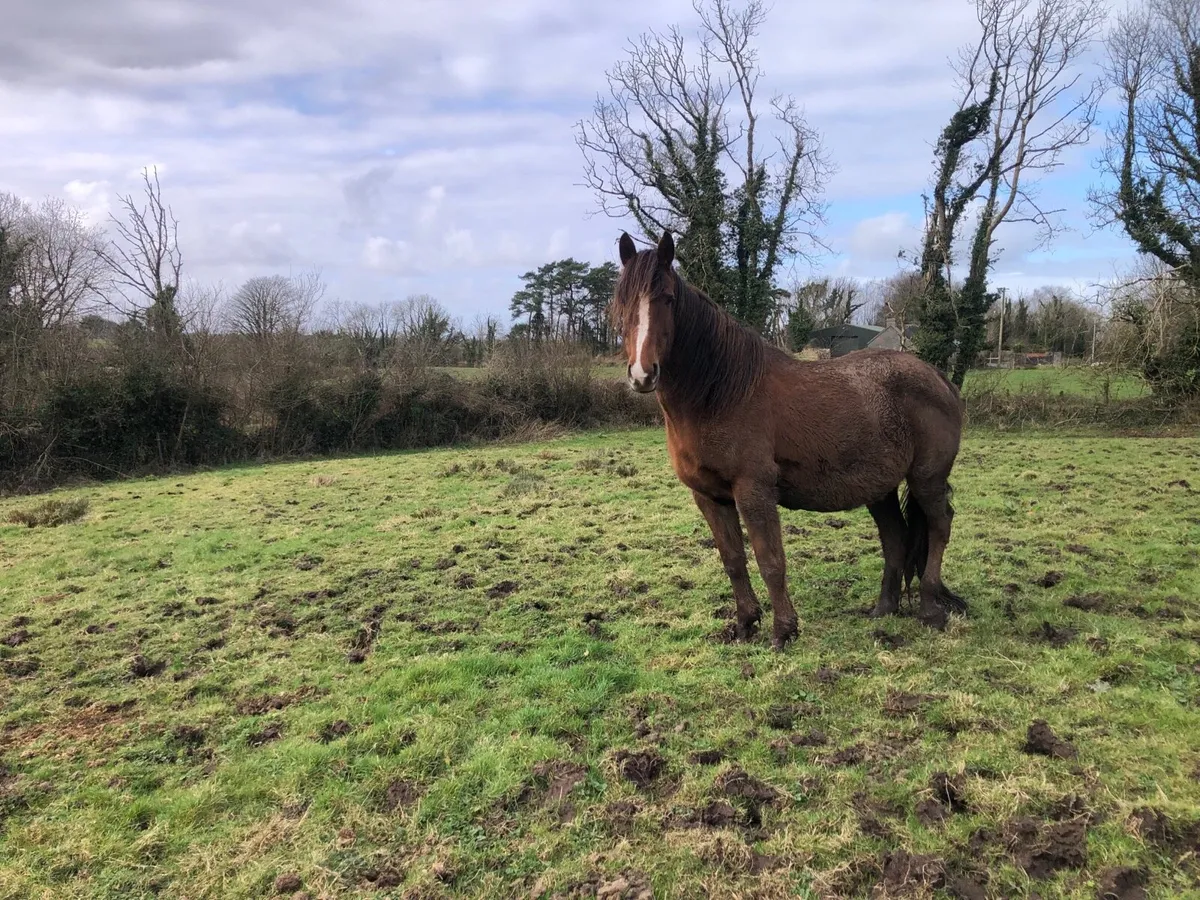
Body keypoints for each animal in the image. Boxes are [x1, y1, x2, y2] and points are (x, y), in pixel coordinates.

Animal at [611, 230, 967, 650]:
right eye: (622, 299)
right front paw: (744, 625)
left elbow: (771, 561)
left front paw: (784, 631)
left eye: (667, 297)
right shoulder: (709, 497)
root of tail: (937, 377)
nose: (642, 374)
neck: (721, 395)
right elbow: (733, 561)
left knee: (939, 527)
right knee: (895, 538)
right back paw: (883, 608)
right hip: (879, 488)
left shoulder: (754, 492)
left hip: (927, 479)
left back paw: (930, 610)